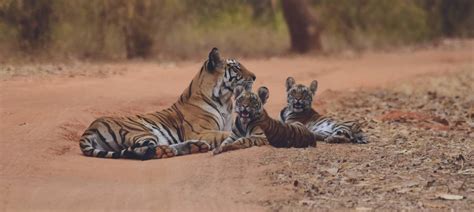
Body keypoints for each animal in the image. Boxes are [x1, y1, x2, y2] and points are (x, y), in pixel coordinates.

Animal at [79, 47, 256, 159]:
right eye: (237, 68)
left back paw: (194, 147)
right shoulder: (200, 131)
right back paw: (169, 151)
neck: (225, 100)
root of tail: (90, 128)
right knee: (142, 150)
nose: (254, 77)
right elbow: (225, 134)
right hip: (141, 131)